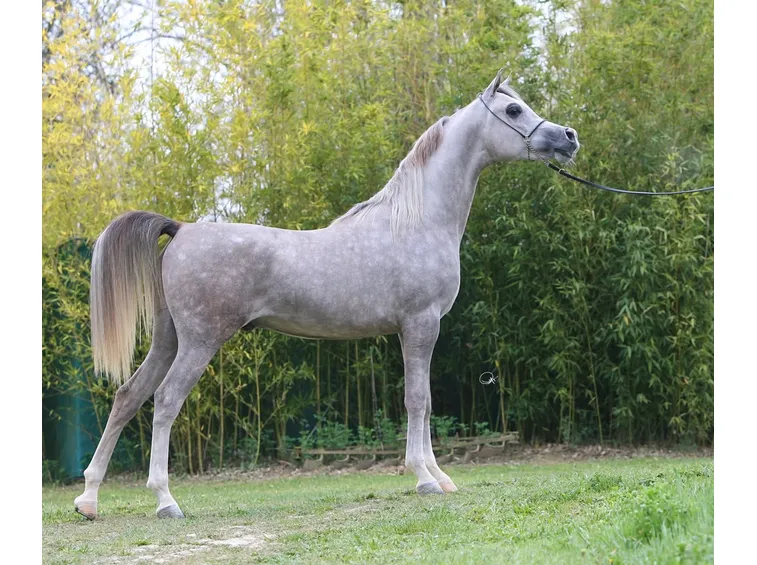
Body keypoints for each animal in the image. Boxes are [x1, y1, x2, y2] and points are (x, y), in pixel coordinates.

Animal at [74, 70, 579, 520]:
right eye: (513, 110)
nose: (569, 137)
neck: (415, 222)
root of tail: (180, 229)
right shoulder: (420, 324)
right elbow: (418, 400)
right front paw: (425, 478)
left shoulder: (417, 330)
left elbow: (426, 402)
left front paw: (440, 475)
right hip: (200, 341)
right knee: (165, 402)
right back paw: (165, 501)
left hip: (168, 340)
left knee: (128, 397)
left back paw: (89, 500)